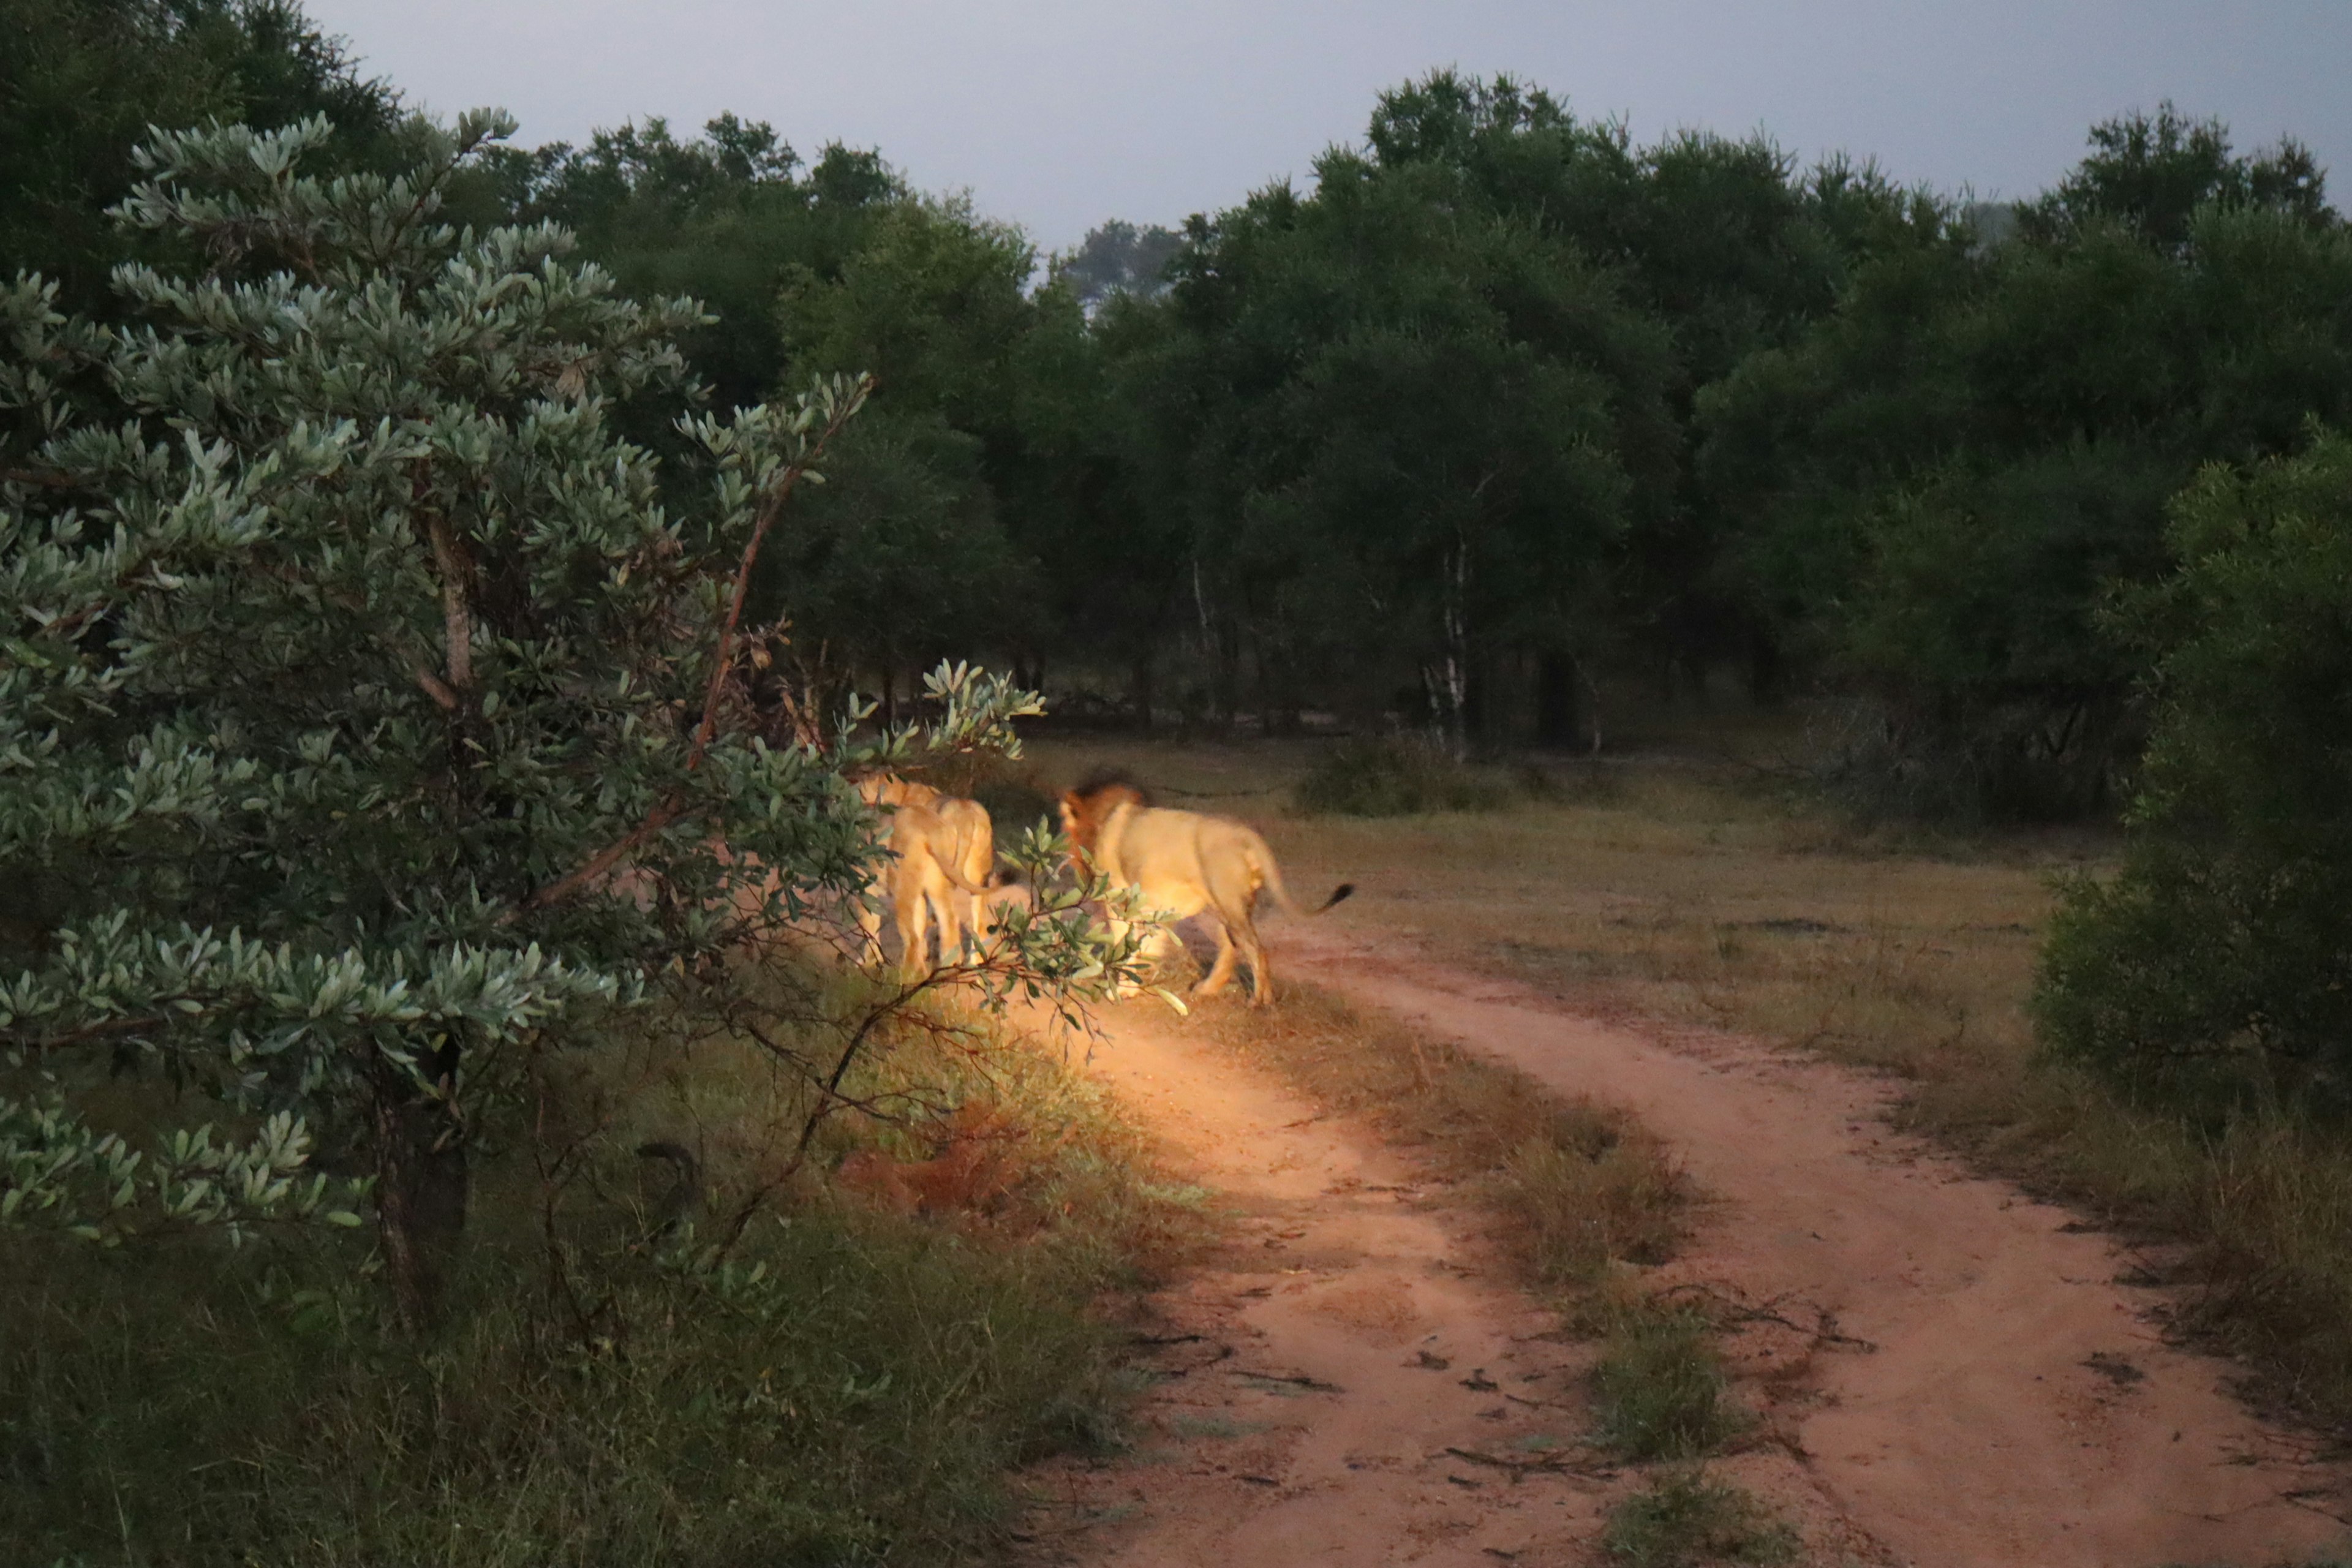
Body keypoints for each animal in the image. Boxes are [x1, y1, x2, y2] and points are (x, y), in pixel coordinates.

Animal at [856, 771, 992, 973]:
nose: (857, 785)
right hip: (977, 877)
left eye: (866, 783)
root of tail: (967, 814)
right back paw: (972, 964)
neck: (903, 793)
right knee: (978, 925)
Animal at [1058, 771, 1354, 1006]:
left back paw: (1260, 1002)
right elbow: (1146, 945)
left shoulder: (1120, 900)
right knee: (1233, 947)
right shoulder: (1151, 905)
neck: (1104, 820)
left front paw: (1120, 991)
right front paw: (1133, 987)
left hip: (1226, 902)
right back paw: (1208, 989)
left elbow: (1127, 945)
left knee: (1256, 949)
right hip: (1222, 906)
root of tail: (1245, 834)